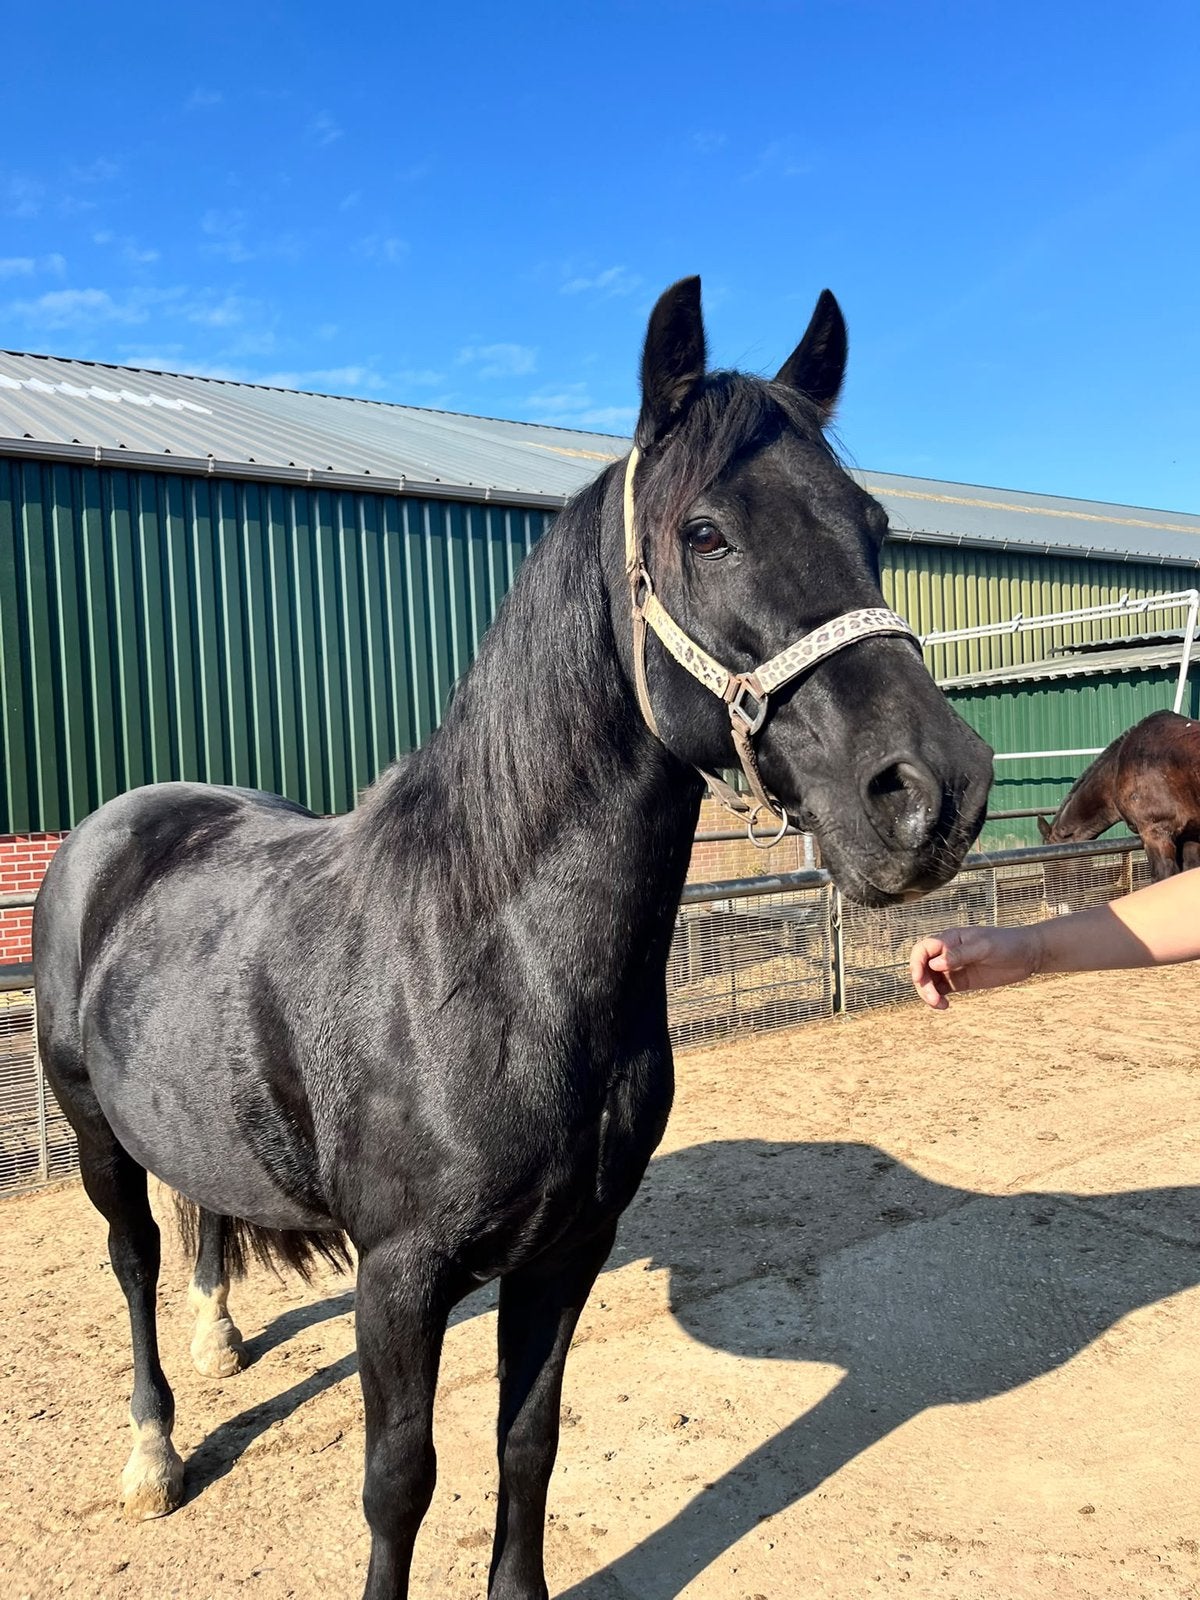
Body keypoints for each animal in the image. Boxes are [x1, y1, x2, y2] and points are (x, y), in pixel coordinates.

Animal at [32, 276, 992, 1600]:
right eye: (705, 533)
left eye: (875, 523)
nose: (933, 792)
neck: (489, 962)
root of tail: (116, 825)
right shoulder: (398, 1278)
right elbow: (400, 1481)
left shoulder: (571, 1250)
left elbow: (527, 1444)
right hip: (92, 1135)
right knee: (130, 1261)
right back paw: (153, 1456)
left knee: (205, 1213)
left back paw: (220, 1337)